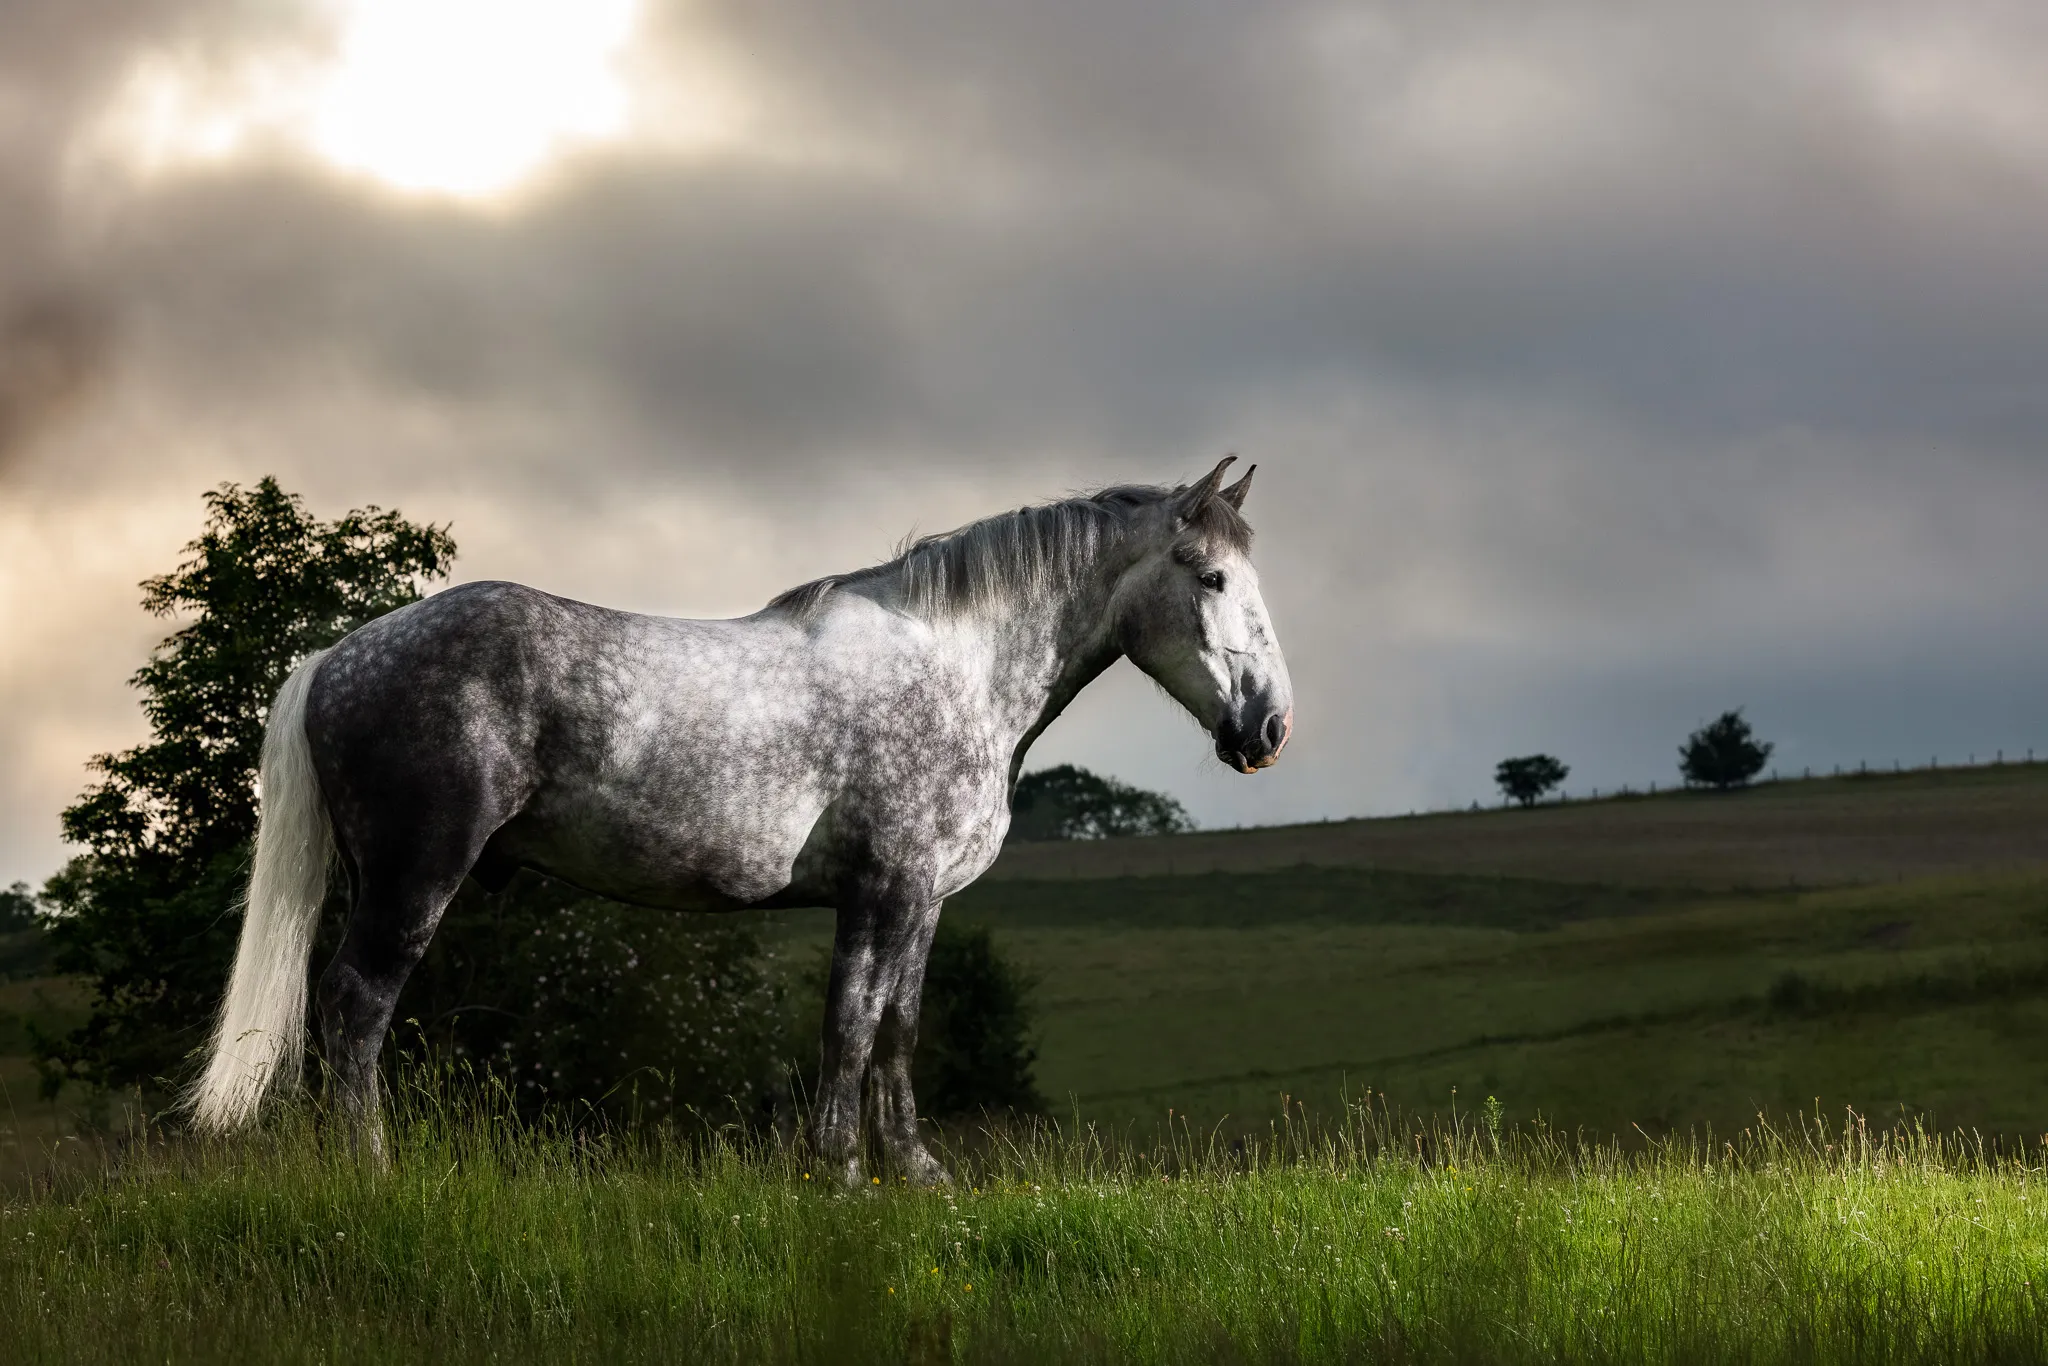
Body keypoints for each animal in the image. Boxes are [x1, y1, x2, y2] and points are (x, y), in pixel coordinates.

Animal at [188, 456, 1293, 1184]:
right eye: (1210, 577)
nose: (1269, 726)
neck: (954, 666)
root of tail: (337, 655)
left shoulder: (920, 901)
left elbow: (897, 1029)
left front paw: (917, 1178)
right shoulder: (882, 891)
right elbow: (850, 1025)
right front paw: (836, 1178)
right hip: (414, 876)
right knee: (353, 1007)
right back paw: (369, 1175)